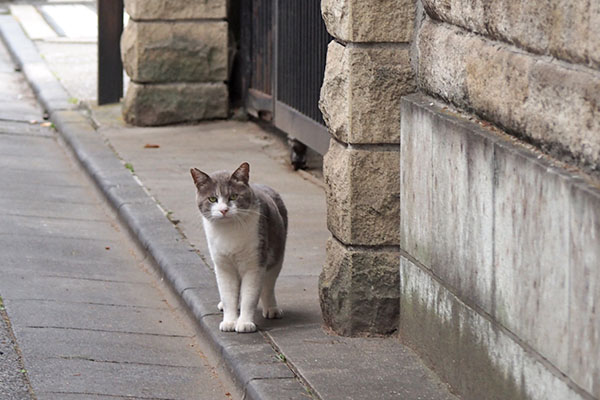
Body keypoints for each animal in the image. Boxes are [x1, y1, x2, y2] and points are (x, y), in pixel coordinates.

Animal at [191, 161, 288, 332]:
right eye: (212, 198)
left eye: (234, 196)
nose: (224, 210)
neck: (229, 231)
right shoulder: (223, 266)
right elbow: (229, 294)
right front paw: (230, 321)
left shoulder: (255, 264)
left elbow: (250, 296)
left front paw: (244, 323)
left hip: (276, 256)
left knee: (268, 285)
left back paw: (272, 309)